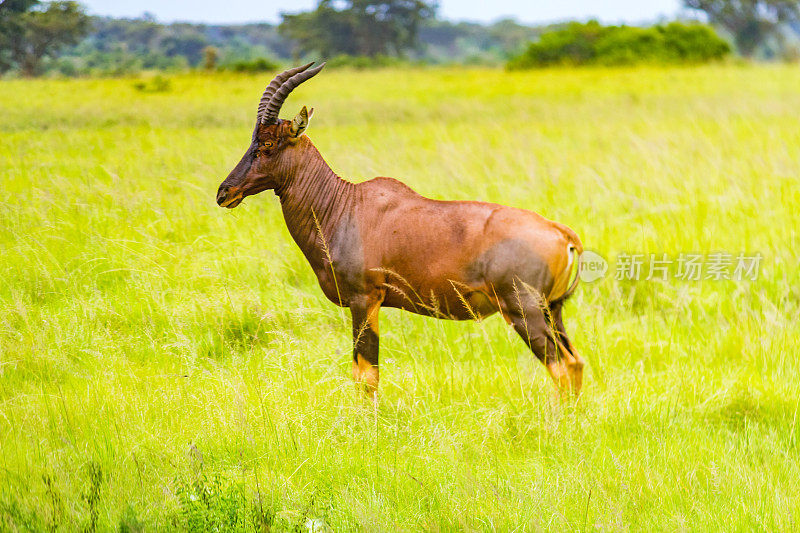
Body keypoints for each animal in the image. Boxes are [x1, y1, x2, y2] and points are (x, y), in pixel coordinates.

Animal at [219, 62, 588, 396]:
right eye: (252, 141)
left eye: (268, 145)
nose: (225, 192)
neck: (345, 204)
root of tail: (559, 231)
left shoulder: (365, 299)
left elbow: (366, 375)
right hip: (552, 310)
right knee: (576, 363)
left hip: (524, 311)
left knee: (560, 366)